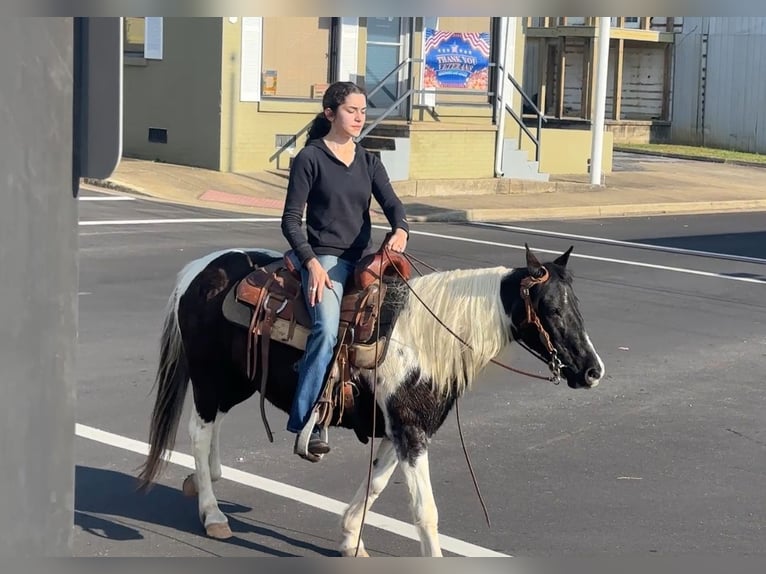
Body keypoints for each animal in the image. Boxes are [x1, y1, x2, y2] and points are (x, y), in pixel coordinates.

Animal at [136, 243, 605, 557]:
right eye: (551, 308)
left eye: (577, 306)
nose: (592, 371)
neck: (421, 342)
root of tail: (199, 270)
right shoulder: (410, 430)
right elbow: (425, 511)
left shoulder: (403, 430)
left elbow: (377, 483)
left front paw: (348, 538)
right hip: (210, 377)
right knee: (199, 431)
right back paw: (213, 514)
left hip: (236, 381)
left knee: (211, 429)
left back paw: (203, 481)